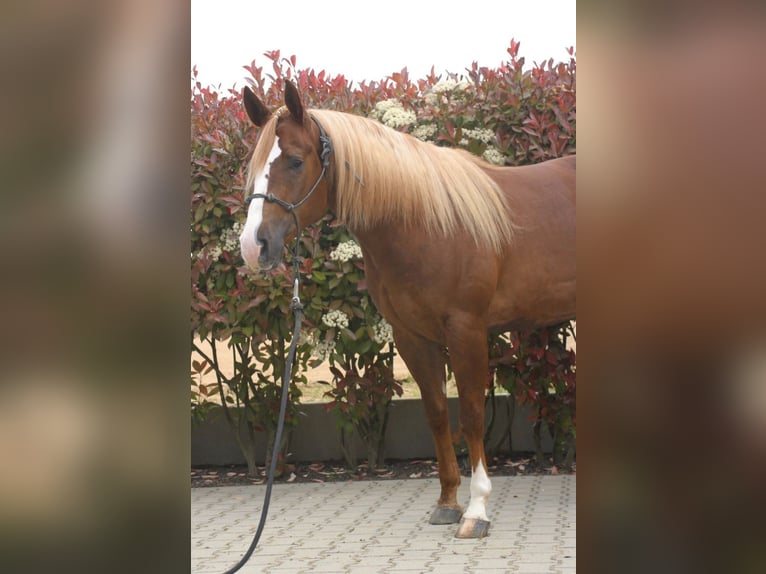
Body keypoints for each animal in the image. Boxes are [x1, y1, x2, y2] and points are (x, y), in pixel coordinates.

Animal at [238, 81, 576, 538]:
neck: (426, 222)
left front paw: (476, 510)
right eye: (254, 166)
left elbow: (472, 415)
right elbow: (436, 414)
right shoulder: (412, 337)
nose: (253, 247)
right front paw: (448, 502)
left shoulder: (466, 330)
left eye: (294, 160)